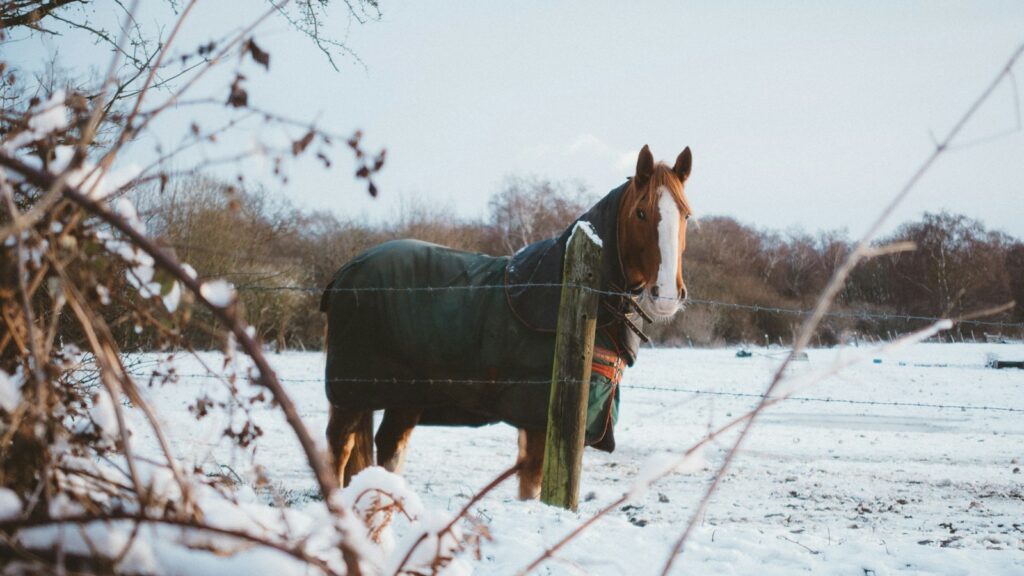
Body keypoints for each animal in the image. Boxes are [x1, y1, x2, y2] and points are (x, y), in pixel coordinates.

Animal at [321, 144, 694, 499]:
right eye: (641, 212)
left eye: (686, 214)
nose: (666, 295)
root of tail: (346, 272)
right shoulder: (538, 419)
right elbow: (532, 488)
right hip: (351, 393)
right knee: (339, 446)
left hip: (405, 397)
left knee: (389, 447)